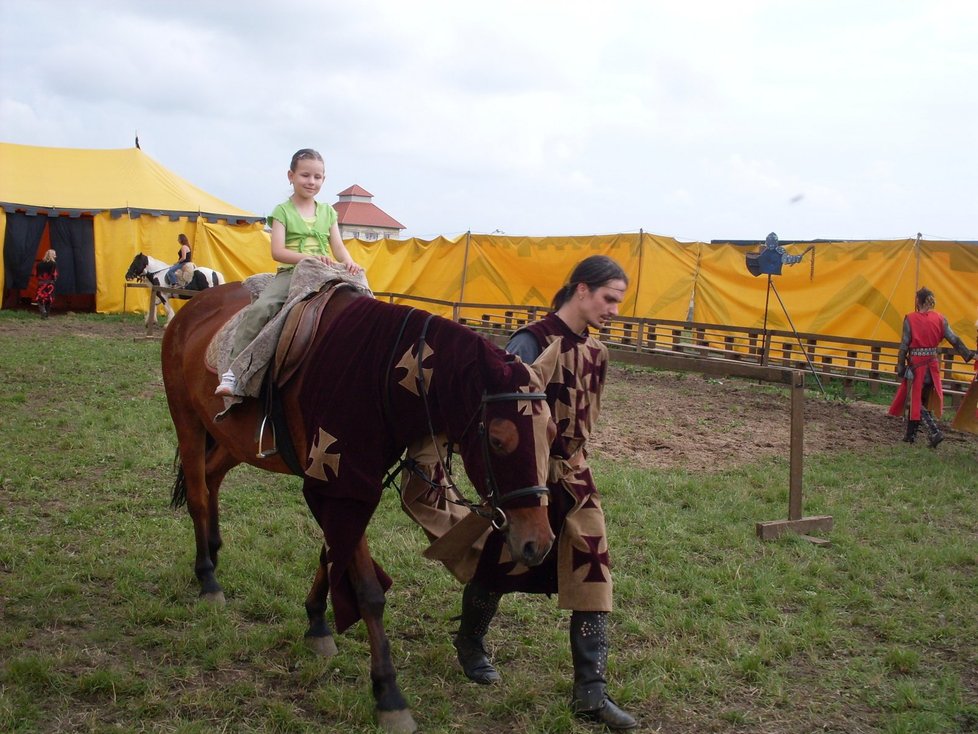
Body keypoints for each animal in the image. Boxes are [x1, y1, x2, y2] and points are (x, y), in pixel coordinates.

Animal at [160, 280, 556, 732]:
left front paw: (316, 622)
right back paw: (207, 576)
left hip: (231, 440)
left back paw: (213, 549)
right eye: (498, 439)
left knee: (211, 479)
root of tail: (190, 311)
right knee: (197, 493)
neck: (384, 369)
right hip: (187, 420)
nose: (538, 542)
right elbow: (367, 590)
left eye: (552, 432)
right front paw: (389, 694)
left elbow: (334, 549)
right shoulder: (339, 479)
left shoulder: (343, 482)